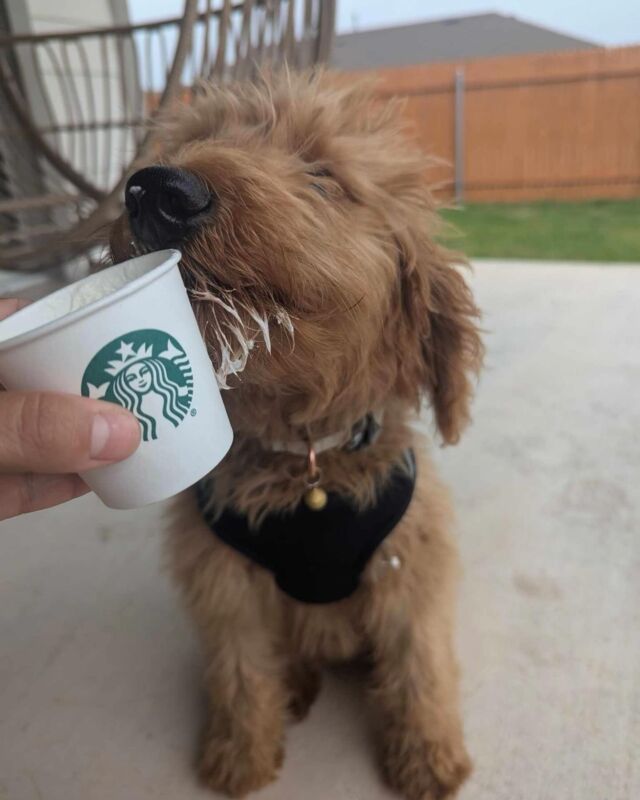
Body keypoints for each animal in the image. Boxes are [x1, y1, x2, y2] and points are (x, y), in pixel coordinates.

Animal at [111, 70, 480, 800]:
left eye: (322, 174)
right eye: (201, 138)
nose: (158, 189)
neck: (305, 462)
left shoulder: (410, 566)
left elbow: (420, 662)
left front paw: (429, 759)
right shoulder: (225, 583)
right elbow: (240, 670)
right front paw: (239, 757)